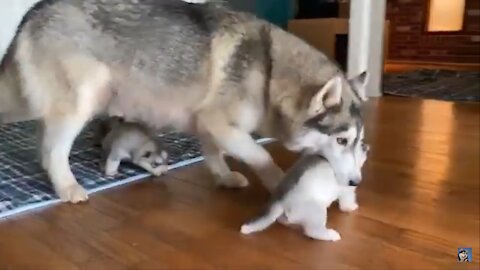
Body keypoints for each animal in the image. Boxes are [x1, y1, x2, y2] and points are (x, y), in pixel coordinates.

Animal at [0, 0, 370, 202]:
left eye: (358, 143)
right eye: (341, 140)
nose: (356, 183)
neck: (270, 71)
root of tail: (34, 10)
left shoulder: (207, 125)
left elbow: (213, 154)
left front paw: (224, 177)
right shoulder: (223, 125)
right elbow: (262, 155)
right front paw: (281, 184)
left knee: (44, 140)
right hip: (85, 97)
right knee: (53, 150)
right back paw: (67, 186)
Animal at [242, 127, 370, 242]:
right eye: (360, 144)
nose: (366, 146)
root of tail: (281, 200)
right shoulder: (347, 190)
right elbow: (348, 201)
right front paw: (352, 207)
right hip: (318, 211)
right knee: (312, 231)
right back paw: (331, 235)